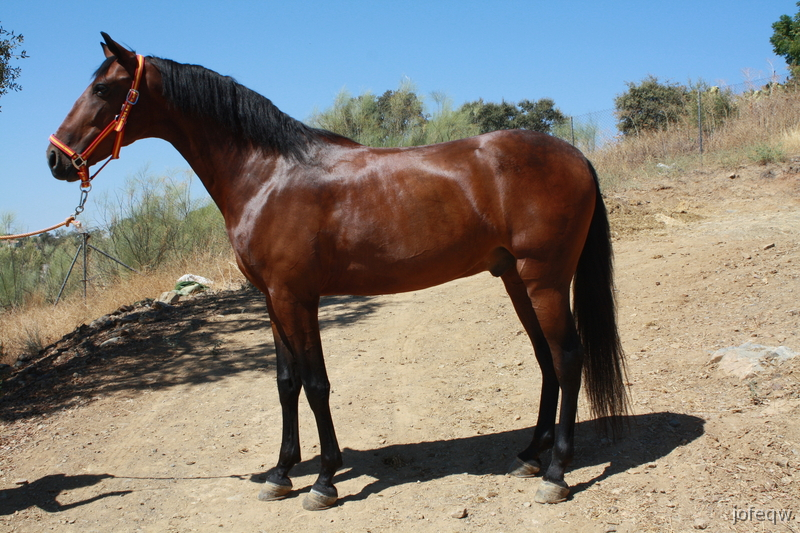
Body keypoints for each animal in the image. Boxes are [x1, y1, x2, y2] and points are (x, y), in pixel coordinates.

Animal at [47, 33, 628, 511]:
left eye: (103, 88)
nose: (56, 159)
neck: (267, 174)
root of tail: (576, 155)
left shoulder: (297, 297)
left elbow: (316, 382)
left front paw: (324, 480)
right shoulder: (272, 300)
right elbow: (285, 383)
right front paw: (281, 474)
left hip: (544, 278)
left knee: (567, 357)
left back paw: (556, 473)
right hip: (514, 279)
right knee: (546, 358)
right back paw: (529, 454)